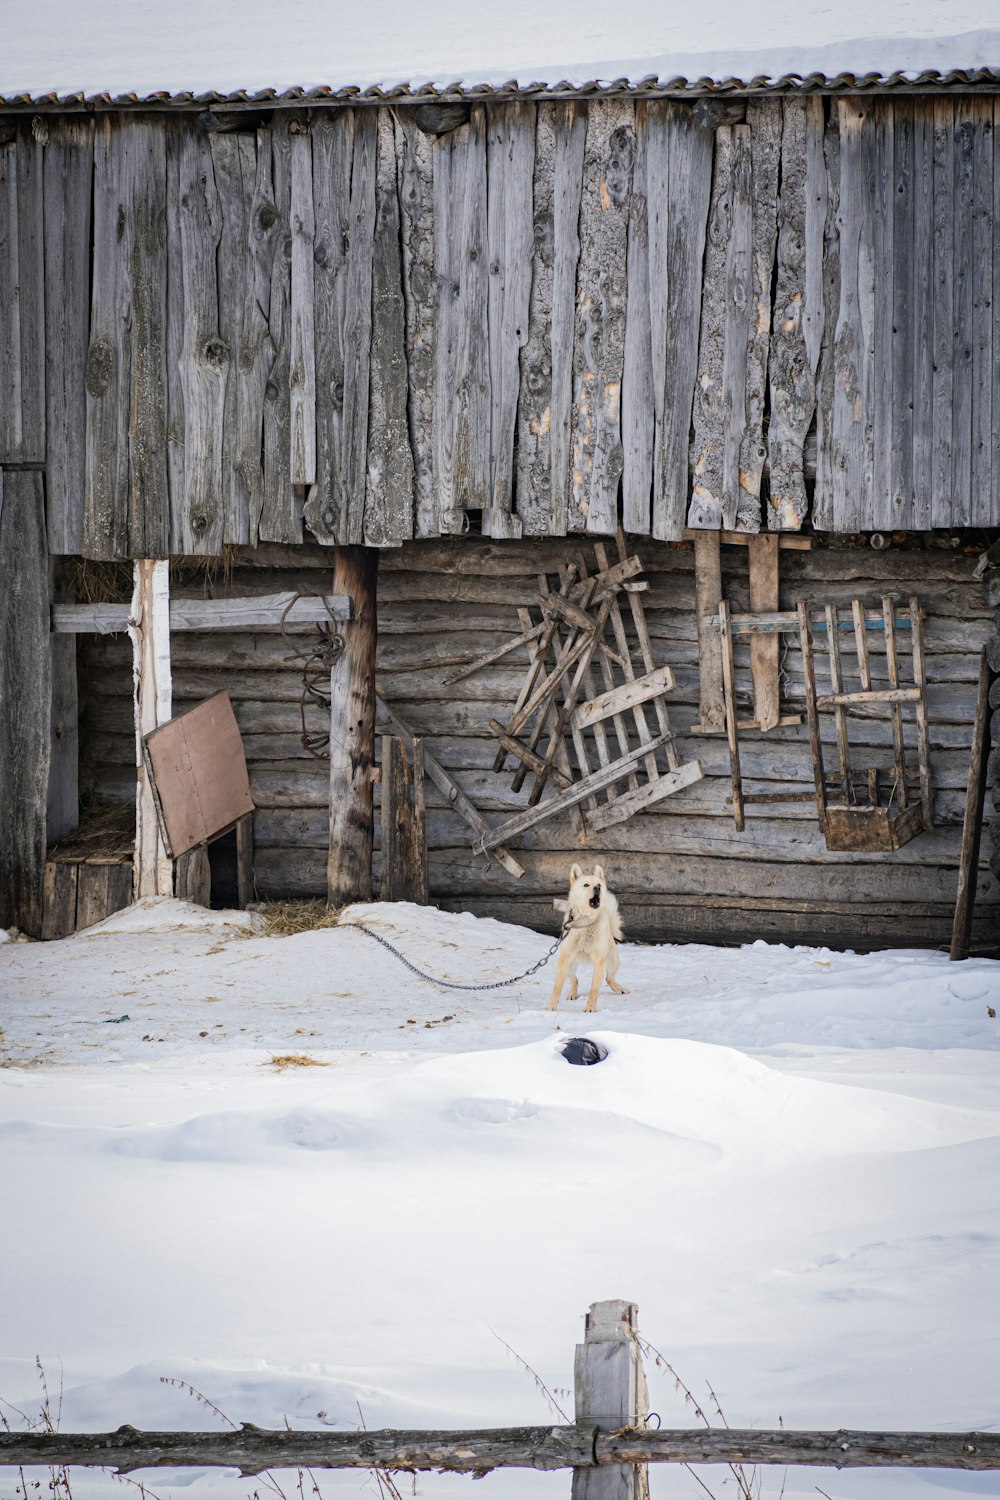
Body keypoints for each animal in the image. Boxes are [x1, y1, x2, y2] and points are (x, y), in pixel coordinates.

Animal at [548, 864, 626, 1014]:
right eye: (586, 885)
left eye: (598, 885)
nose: (597, 888)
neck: (586, 922)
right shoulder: (564, 958)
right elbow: (557, 987)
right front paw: (551, 1007)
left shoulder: (599, 961)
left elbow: (594, 989)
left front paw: (590, 1008)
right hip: (569, 965)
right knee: (575, 979)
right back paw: (572, 994)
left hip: (613, 961)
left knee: (609, 978)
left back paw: (620, 988)